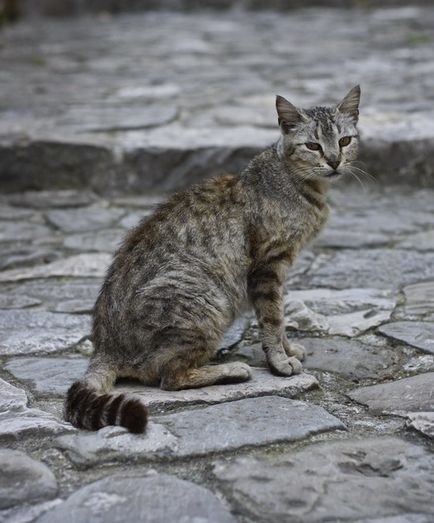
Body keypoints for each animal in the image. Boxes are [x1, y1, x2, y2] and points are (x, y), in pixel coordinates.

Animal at [64, 85, 362, 434]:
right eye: (313, 145)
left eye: (344, 140)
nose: (334, 160)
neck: (297, 184)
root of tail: (104, 347)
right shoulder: (268, 266)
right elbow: (272, 318)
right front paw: (279, 360)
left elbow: (279, 316)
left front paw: (288, 348)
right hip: (204, 299)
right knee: (169, 377)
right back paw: (230, 370)